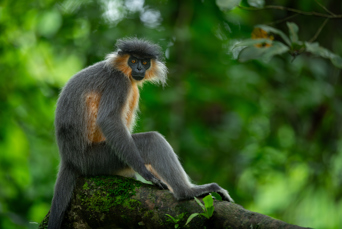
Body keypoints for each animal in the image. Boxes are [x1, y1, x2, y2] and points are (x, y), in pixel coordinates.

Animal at [48, 37, 234, 229]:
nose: (138, 69)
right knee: (152, 140)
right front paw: (145, 173)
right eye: (133, 60)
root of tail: (68, 158)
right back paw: (186, 192)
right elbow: (109, 120)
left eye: (144, 62)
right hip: (94, 159)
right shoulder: (118, 82)